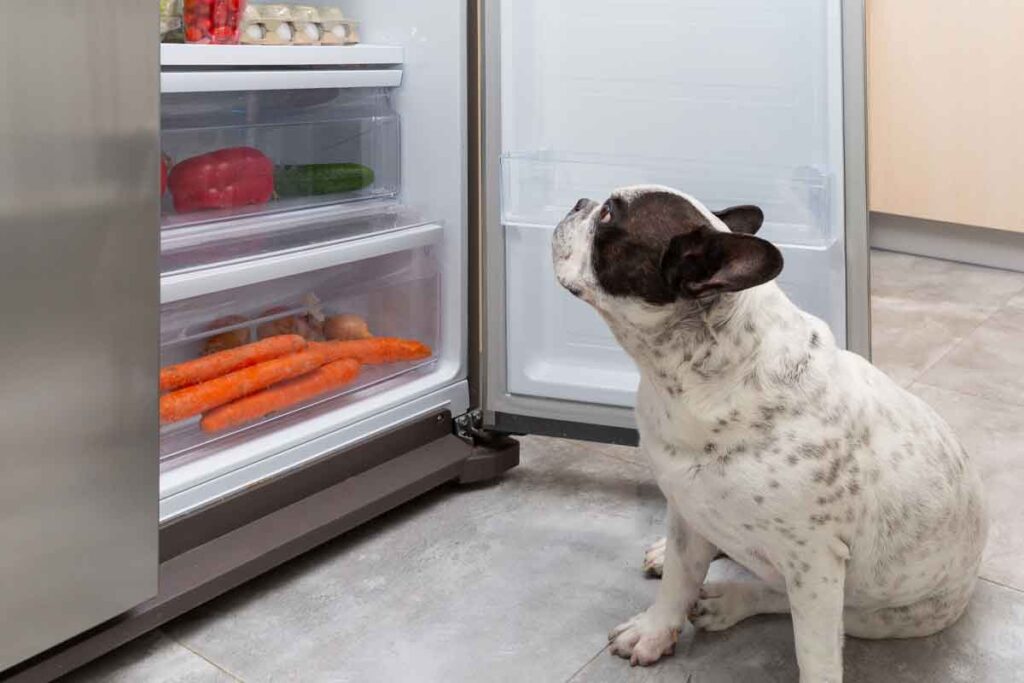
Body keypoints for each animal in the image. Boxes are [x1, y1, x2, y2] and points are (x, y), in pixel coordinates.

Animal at [552, 187, 983, 683]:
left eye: (607, 216)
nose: (579, 202)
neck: (693, 370)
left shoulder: (814, 563)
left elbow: (814, 652)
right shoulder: (684, 505)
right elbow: (680, 577)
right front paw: (655, 630)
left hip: (889, 615)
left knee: (790, 599)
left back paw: (729, 600)